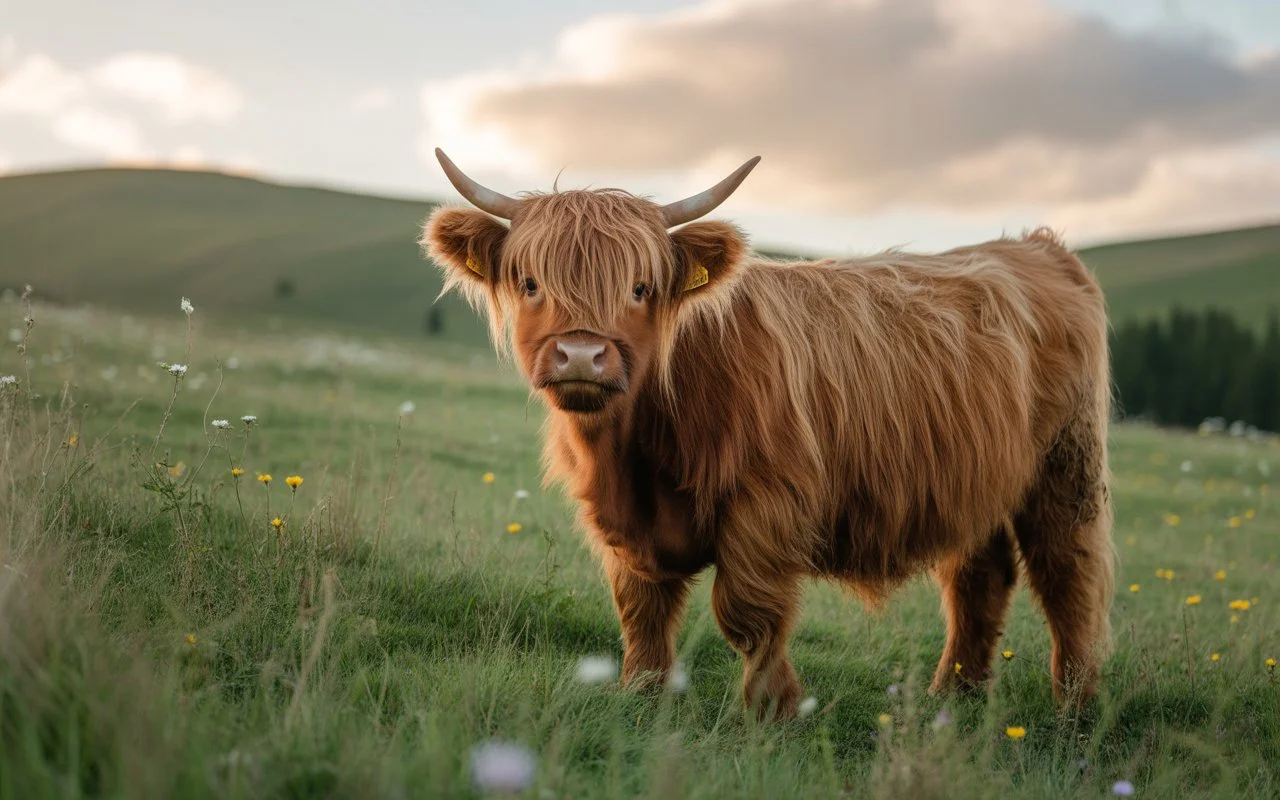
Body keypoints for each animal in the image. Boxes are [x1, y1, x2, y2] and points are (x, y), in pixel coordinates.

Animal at [421, 149, 1114, 718]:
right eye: (531, 282)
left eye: (641, 288)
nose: (583, 357)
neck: (637, 455)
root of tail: (1033, 247)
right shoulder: (625, 525)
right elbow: (641, 610)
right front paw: (641, 695)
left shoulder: (766, 507)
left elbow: (747, 613)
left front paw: (770, 710)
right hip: (974, 477)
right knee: (979, 575)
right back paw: (954, 697)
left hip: (1067, 464)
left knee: (1068, 573)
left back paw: (1073, 709)